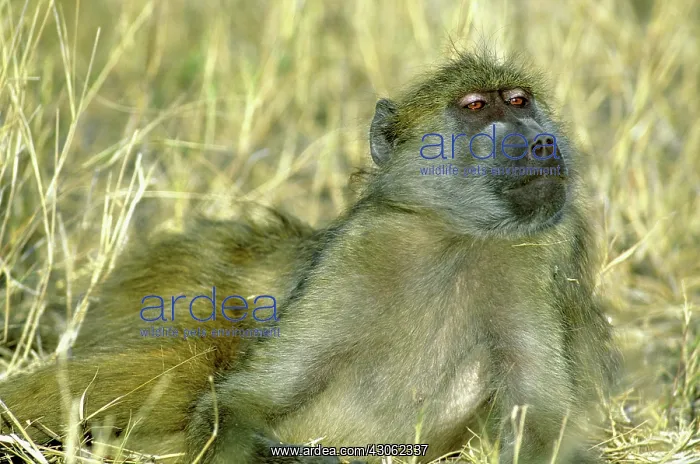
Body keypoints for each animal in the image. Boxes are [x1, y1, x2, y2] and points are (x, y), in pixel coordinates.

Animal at [0, 48, 619, 464]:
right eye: (475, 106)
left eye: (519, 101)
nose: (541, 142)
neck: (458, 238)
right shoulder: (361, 250)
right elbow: (248, 398)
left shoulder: (536, 261)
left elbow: (544, 422)